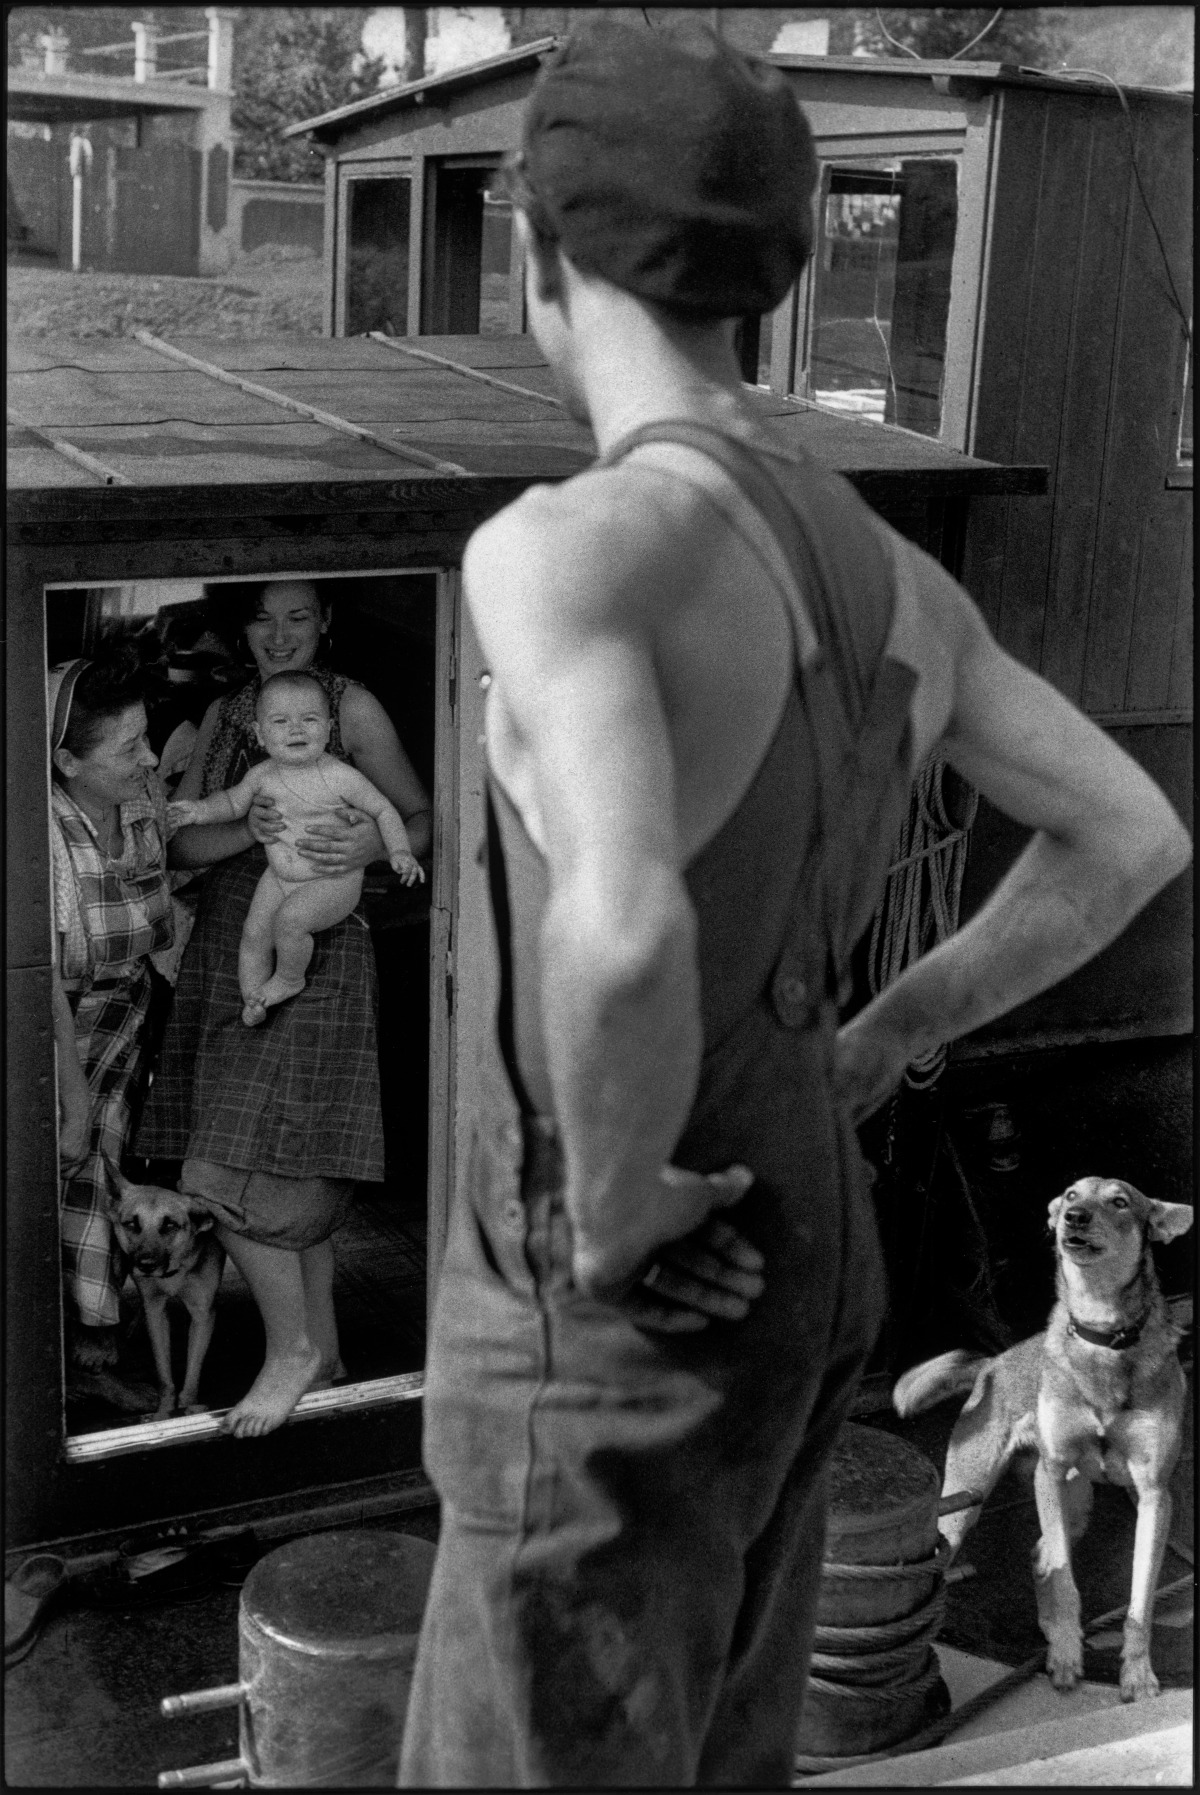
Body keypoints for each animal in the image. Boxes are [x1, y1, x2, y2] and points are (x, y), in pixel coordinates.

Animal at [104, 1155, 226, 1421]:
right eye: (132, 1224)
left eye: (170, 1226)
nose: (146, 1265)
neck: (173, 1272)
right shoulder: (156, 1310)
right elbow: (163, 1372)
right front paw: (164, 1411)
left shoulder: (202, 1314)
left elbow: (192, 1375)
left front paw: (188, 1410)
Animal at [889, 1177, 1191, 1694]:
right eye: (1072, 1195)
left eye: (1120, 1201)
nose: (1074, 1218)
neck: (1102, 1334)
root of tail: (991, 1364)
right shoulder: (1051, 1471)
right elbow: (1067, 1579)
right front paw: (1068, 1655)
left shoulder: (1153, 1494)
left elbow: (1139, 1598)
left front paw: (1136, 1673)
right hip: (973, 1499)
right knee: (1034, 1555)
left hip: (1076, 1502)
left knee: (1040, 1554)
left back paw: (1050, 1630)